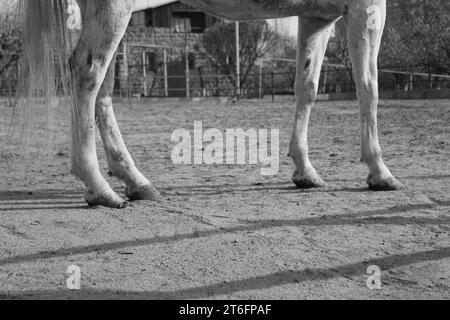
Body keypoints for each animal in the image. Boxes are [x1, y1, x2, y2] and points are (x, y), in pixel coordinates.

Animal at [19, 0, 402, 209]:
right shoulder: (366, 8)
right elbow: (369, 88)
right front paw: (380, 172)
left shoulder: (316, 18)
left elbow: (306, 88)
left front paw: (305, 171)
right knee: (86, 75)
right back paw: (99, 188)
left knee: (103, 92)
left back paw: (136, 182)